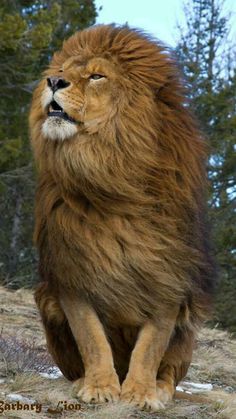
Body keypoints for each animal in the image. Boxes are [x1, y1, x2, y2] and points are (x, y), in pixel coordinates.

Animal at [28, 24, 215, 412]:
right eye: (63, 70)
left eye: (97, 76)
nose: (53, 80)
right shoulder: (71, 271)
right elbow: (91, 337)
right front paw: (100, 387)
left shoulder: (168, 276)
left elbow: (150, 346)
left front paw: (141, 393)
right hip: (46, 300)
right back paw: (79, 381)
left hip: (189, 324)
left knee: (170, 371)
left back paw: (160, 388)